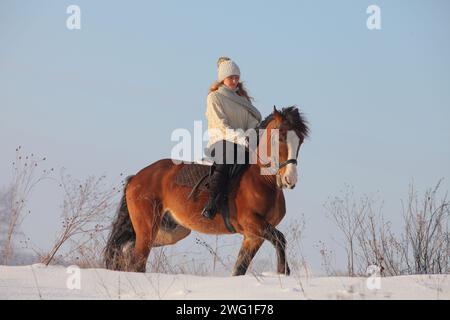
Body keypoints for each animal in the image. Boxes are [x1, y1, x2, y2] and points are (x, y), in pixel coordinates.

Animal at [104, 105, 310, 276]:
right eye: (281, 137)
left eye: (300, 141)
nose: (290, 180)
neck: (262, 180)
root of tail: (136, 178)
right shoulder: (252, 223)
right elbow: (281, 239)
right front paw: (283, 271)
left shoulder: (253, 236)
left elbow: (239, 269)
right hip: (148, 228)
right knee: (137, 262)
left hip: (168, 231)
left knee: (128, 252)